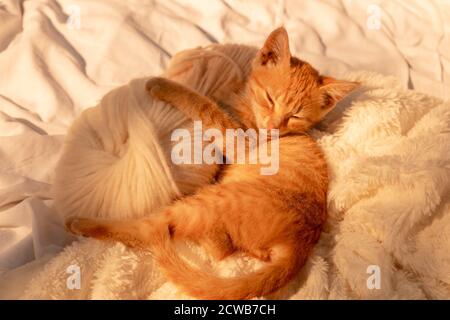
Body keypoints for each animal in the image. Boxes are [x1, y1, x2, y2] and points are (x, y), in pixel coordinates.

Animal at [66, 28, 358, 300]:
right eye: (269, 98)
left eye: (295, 116)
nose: (274, 126)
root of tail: (300, 244)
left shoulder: (239, 141)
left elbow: (205, 106)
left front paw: (165, 85)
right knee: (221, 248)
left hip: (210, 202)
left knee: (159, 232)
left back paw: (82, 224)